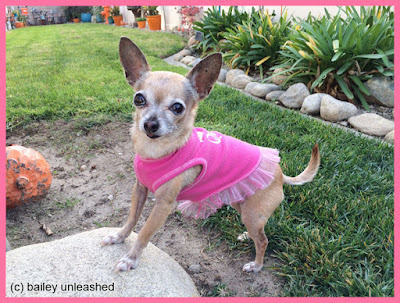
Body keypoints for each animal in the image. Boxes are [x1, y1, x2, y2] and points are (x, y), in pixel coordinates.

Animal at [103, 37, 322, 274]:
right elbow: (131, 218)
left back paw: (256, 265)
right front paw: (119, 236)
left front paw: (130, 259)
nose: (150, 124)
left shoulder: (163, 205)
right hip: (242, 204)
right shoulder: (140, 190)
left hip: (251, 213)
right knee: (260, 232)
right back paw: (247, 236)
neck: (157, 152)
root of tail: (280, 172)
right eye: (139, 99)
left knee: (263, 240)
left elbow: (144, 233)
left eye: (177, 107)